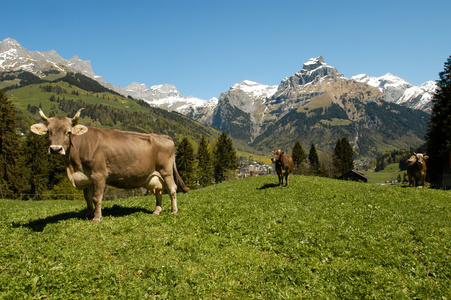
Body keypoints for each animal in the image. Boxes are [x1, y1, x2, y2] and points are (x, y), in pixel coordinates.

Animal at [30, 108, 189, 223]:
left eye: (68, 132)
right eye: (48, 132)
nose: (55, 149)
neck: (73, 167)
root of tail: (163, 136)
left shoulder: (99, 174)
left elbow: (96, 197)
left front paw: (96, 218)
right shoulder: (86, 177)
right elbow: (87, 197)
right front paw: (88, 214)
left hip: (166, 171)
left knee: (172, 189)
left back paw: (174, 211)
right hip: (154, 175)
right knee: (159, 191)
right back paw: (156, 211)